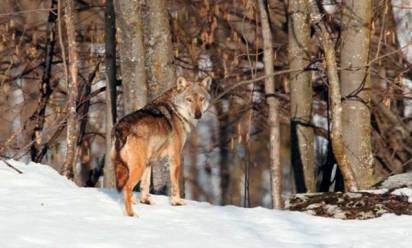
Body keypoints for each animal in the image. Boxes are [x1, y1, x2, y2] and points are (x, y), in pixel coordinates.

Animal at [111, 76, 212, 216]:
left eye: (201, 99)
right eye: (189, 99)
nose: (198, 115)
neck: (176, 110)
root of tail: (121, 127)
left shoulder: (149, 161)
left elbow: (145, 185)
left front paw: (145, 201)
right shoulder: (175, 156)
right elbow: (175, 184)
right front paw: (176, 202)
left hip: (128, 166)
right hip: (137, 167)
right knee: (127, 187)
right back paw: (131, 214)